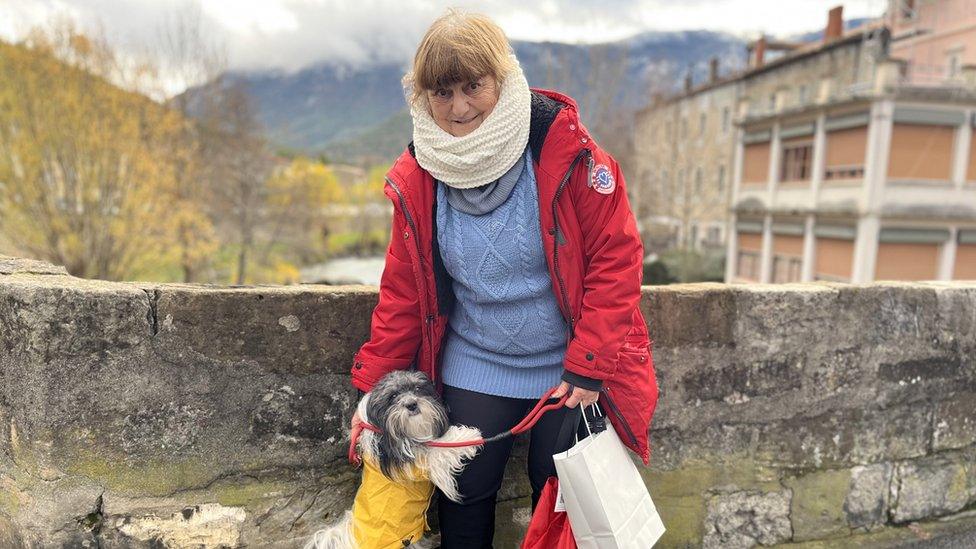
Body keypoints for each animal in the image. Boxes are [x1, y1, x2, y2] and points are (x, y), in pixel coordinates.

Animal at [306, 370, 482, 544]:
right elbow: (438, 450)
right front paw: (469, 436)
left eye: (417, 388)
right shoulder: (419, 463)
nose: (411, 404)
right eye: (393, 396)